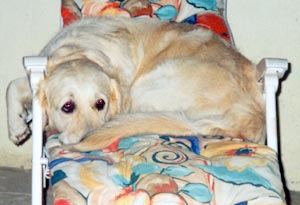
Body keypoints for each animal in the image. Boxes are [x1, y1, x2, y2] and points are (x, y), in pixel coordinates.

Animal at [6, 16, 264, 149]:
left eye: (100, 103)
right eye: (67, 107)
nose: (90, 136)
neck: (78, 52)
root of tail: (251, 115)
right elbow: (13, 85)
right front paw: (17, 126)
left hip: (148, 86)